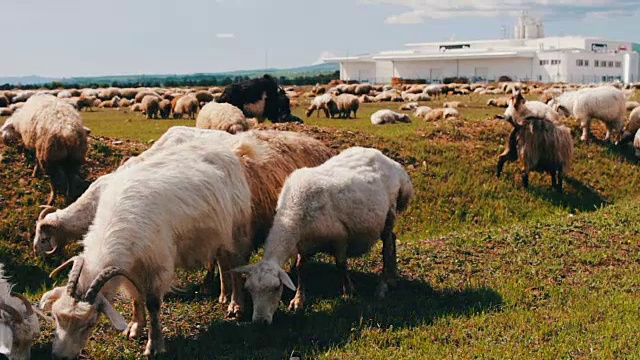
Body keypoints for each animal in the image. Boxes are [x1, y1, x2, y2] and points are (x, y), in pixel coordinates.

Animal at [38, 139, 255, 358]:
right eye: (56, 317)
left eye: (90, 323)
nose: (60, 356)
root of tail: (226, 152)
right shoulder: (130, 268)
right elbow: (136, 297)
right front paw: (135, 327)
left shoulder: (157, 264)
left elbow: (152, 303)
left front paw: (154, 345)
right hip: (218, 235)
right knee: (223, 261)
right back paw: (223, 294)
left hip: (236, 231)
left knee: (236, 266)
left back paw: (235, 305)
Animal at [235, 146, 416, 324]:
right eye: (249, 289)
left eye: (276, 288)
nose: (260, 322)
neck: (294, 213)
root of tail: (394, 165)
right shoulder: (303, 244)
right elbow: (300, 268)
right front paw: (298, 300)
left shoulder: (340, 237)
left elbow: (341, 264)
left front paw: (349, 291)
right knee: (392, 238)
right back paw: (393, 278)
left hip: (389, 213)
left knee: (386, 246)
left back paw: (383, 286)